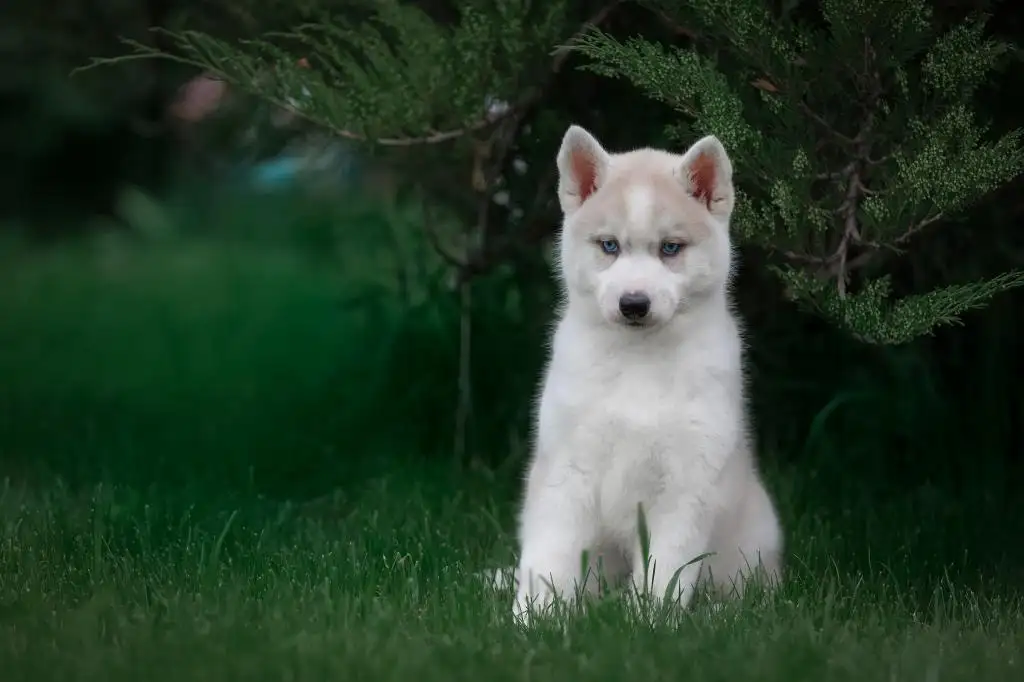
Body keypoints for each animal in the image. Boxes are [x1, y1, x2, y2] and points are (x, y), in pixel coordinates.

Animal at [512, 124, 782, 618]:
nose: (633, 303)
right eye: (609, 246)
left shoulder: (686, 483)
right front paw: (534, 618)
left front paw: (651, 623)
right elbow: (550, 556)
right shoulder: (566, 469)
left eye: (670, 248)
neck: (638, 361)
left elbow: (666, 570)